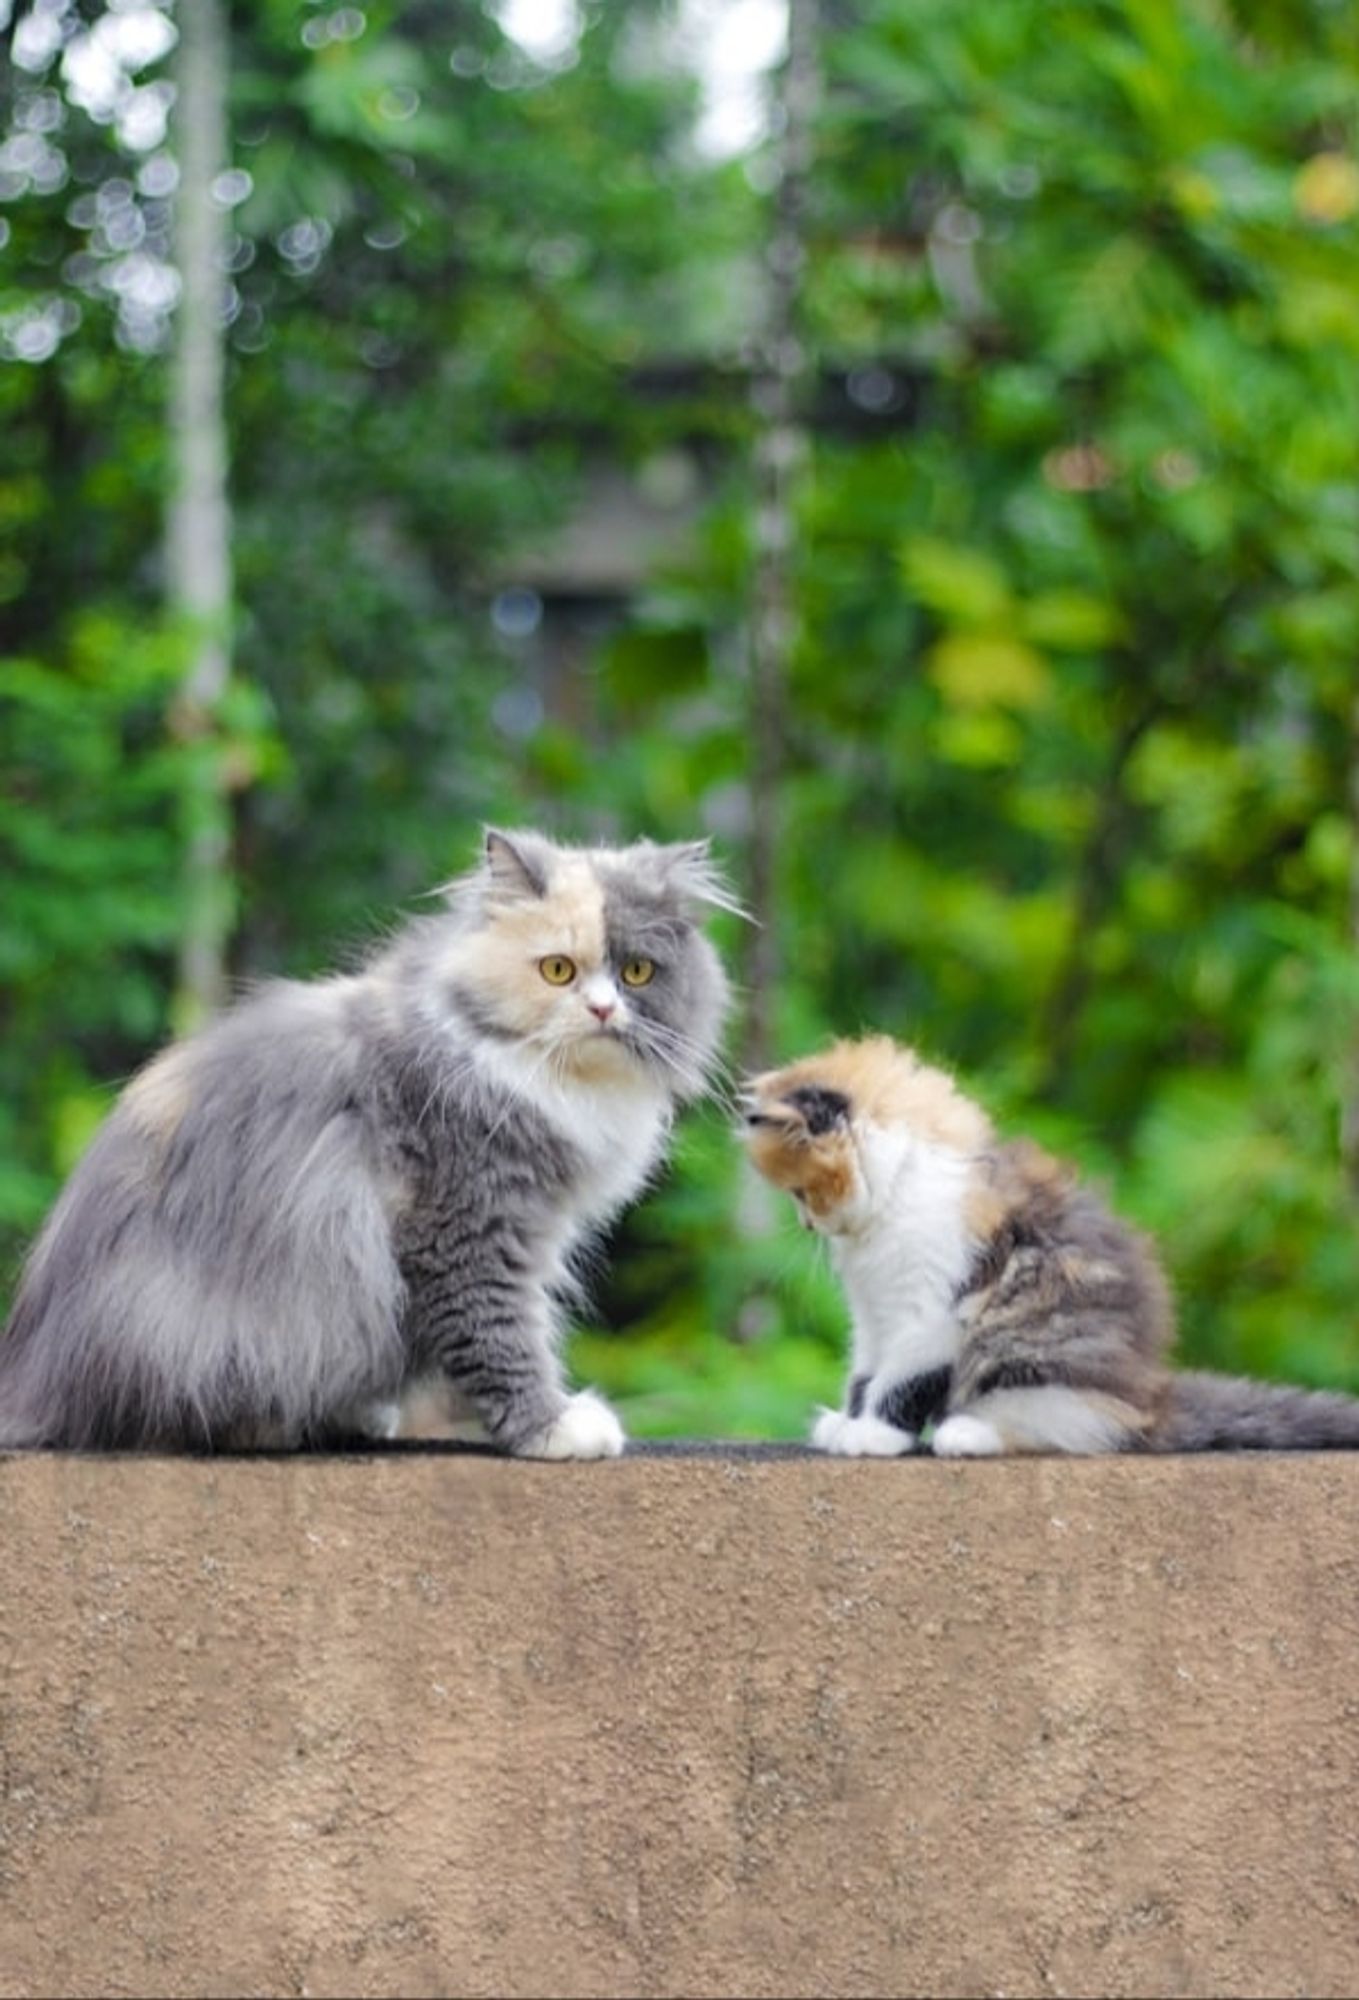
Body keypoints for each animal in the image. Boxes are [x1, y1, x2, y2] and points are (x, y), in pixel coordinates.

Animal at [2, 828, 731, 1456]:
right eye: (557, 970)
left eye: (637, 973)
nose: (603, 1010)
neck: (550, 1082)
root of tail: (33, 1380)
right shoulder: (468, 1228)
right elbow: (501, 1337)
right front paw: (555, 1428)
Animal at [743, 1040, 1359, 1464]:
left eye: (801, 1193)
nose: (806, 1222)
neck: (901, 1191)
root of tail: (1151, 1402)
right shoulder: (873, 1314)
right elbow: (865, 1370)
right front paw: (847, 1420)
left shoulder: (932, 1311)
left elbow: (901, 1378)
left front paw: (874, 1434)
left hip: (1032, 1360)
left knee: (1069, 1426)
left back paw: (967, 1432)